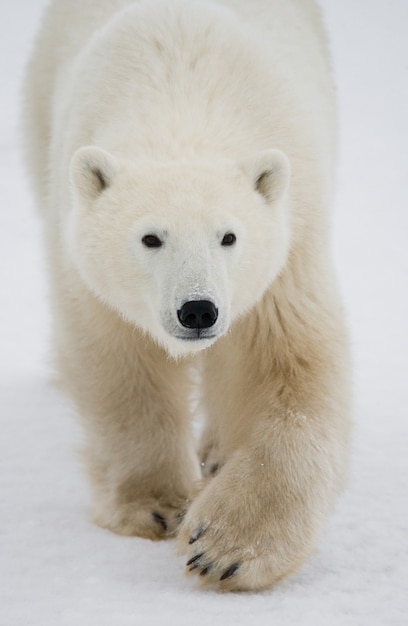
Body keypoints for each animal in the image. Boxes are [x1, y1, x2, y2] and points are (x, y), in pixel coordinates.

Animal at [23, 0, 352, 588]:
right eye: (151, 237)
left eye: (229, 236)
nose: (198, 310)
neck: (182, 101)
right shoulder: (85, 271)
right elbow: (120, 369)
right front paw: (155, 507)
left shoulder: (287, 253)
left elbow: (290, 372)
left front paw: (226, 547)